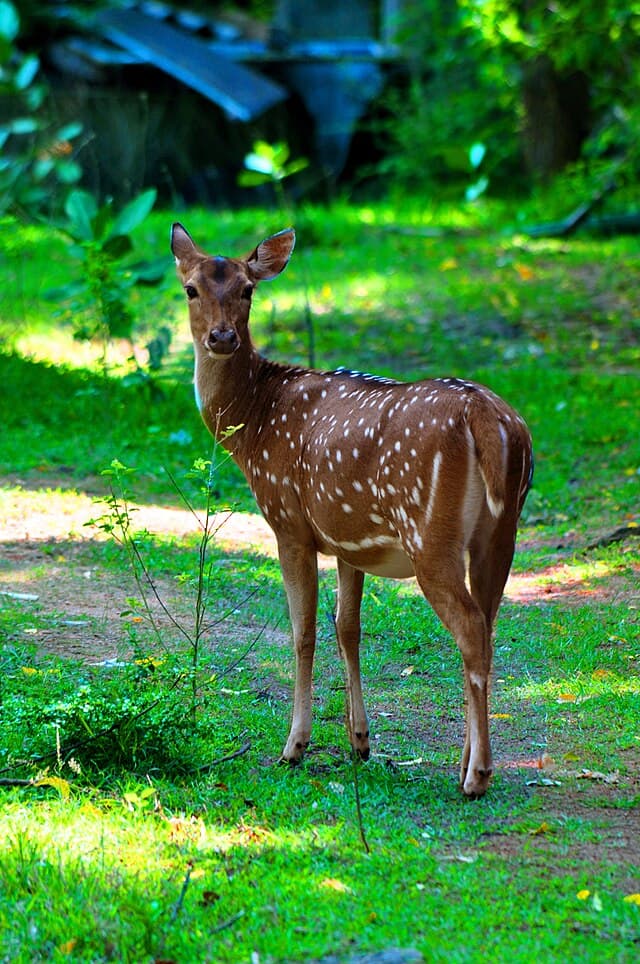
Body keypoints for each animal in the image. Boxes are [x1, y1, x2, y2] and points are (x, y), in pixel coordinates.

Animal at [171, 223, 533, 799]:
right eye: (191, 289)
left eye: (248, 290)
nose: (222, 338)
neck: (253, 426)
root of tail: (489, 420)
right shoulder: (347, 539)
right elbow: (348, 627)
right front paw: (360, 742)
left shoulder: (289, 522)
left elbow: (303, 631)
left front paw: (294, 747)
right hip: (502, 533)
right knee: (488, 625)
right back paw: (463, 762)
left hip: (430, 535)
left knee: (472, 630)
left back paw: (477, 776)